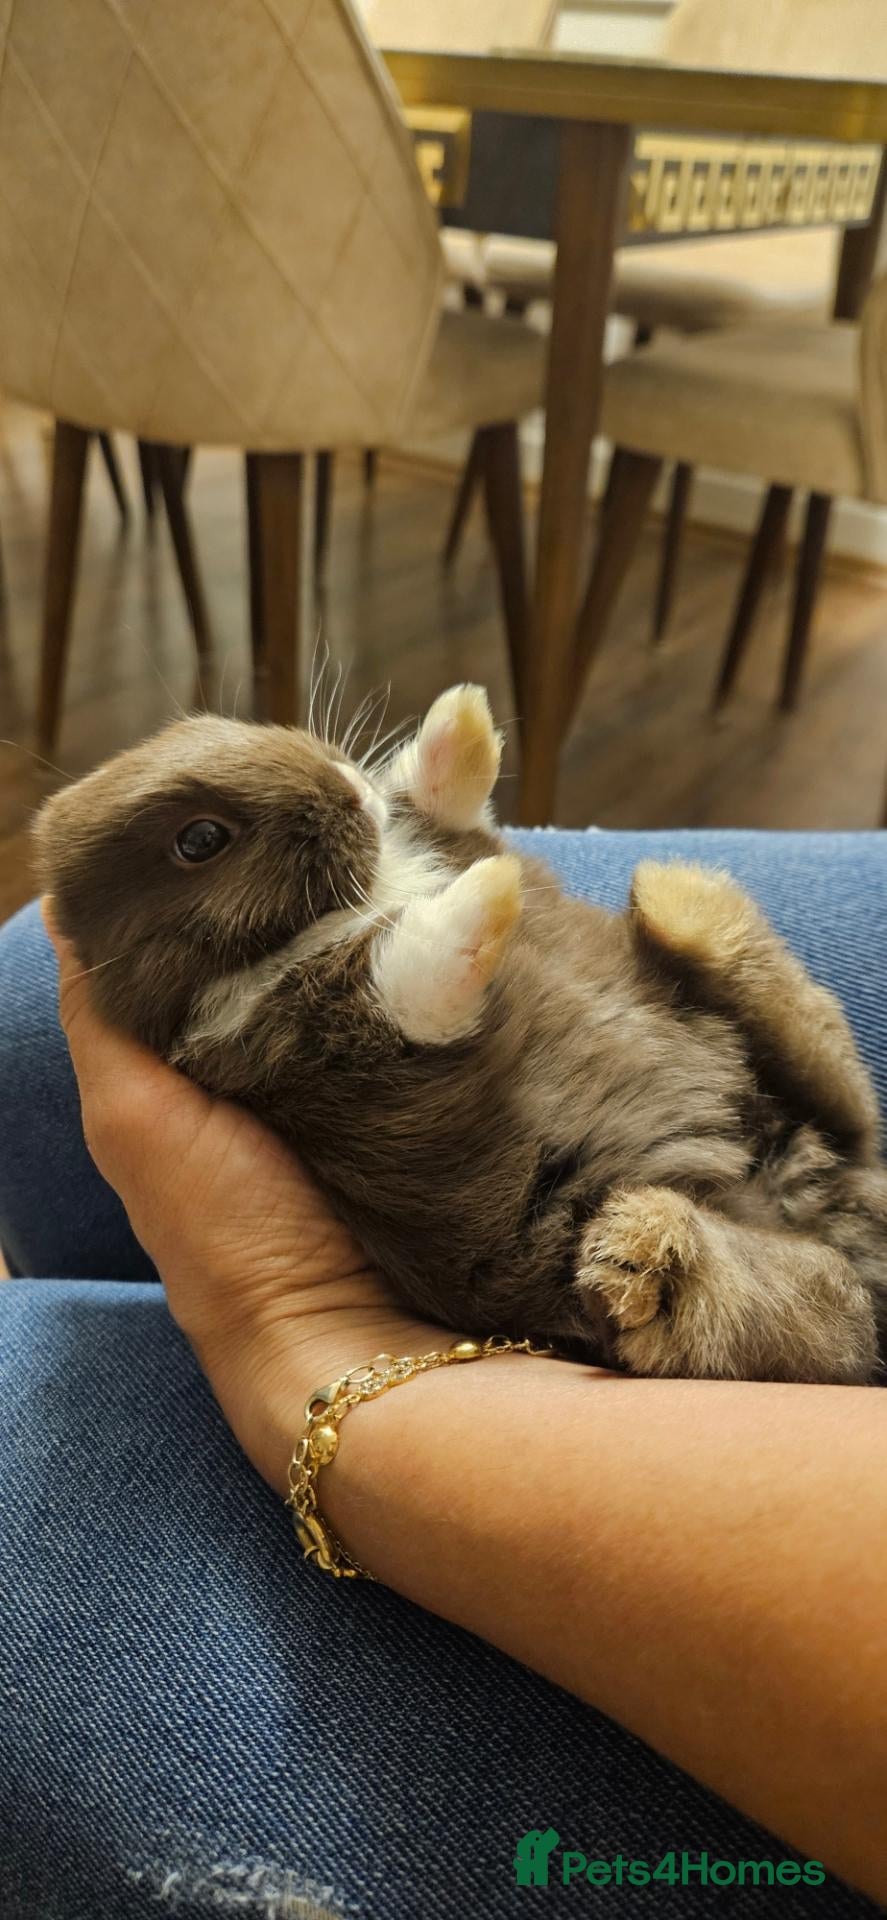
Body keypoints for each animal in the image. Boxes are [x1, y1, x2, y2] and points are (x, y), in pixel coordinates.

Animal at [34, 683, 887, 1384]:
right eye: (201, 840)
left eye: (226, 723)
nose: (346, 787)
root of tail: (823, 1200)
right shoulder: (335, 1047)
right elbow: (420, 962)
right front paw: (485, 894)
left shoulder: (450, 836)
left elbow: (441, 805)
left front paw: (464, 716)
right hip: (727, 1281)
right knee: (748, 1304)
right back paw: (645, 1246)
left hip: (789, 1066)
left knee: (840, 1098)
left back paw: (683, 905)